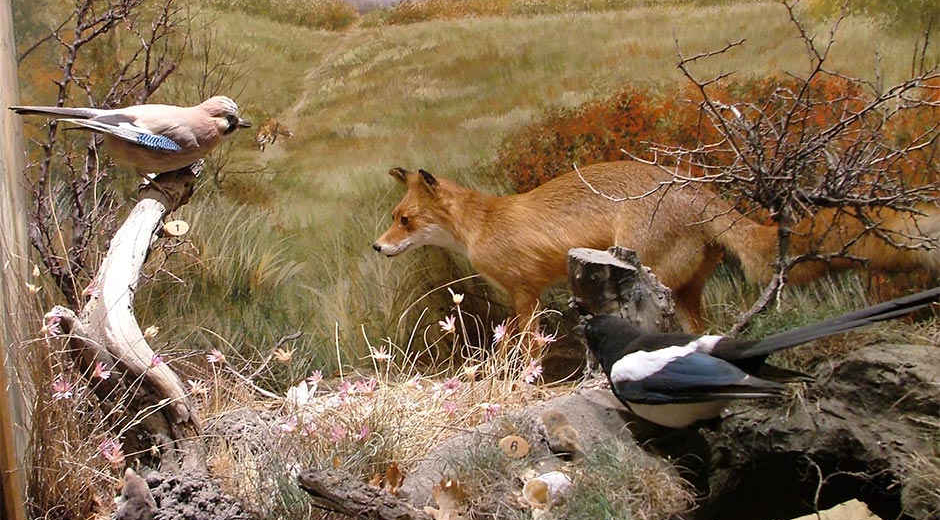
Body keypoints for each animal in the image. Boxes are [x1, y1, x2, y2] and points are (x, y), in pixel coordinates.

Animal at [372, 159, 780, 330]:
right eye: (393, 215)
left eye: (405, 221)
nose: (377, 247)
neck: (484, 224)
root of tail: (693, 187)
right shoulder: (527, 295)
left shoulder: (524, 294)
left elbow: (524, 346)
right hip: (685, 294)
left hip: (650, 284)